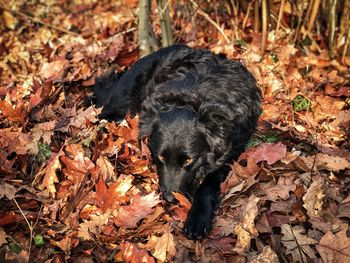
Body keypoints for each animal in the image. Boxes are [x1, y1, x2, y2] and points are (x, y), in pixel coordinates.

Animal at [94, 44, 262, 239]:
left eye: (188, 160)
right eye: (160, 157)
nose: (169, 199)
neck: (192, 97)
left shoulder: (233, 149)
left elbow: (209, 182)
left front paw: (197, 218)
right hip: (119, 106)